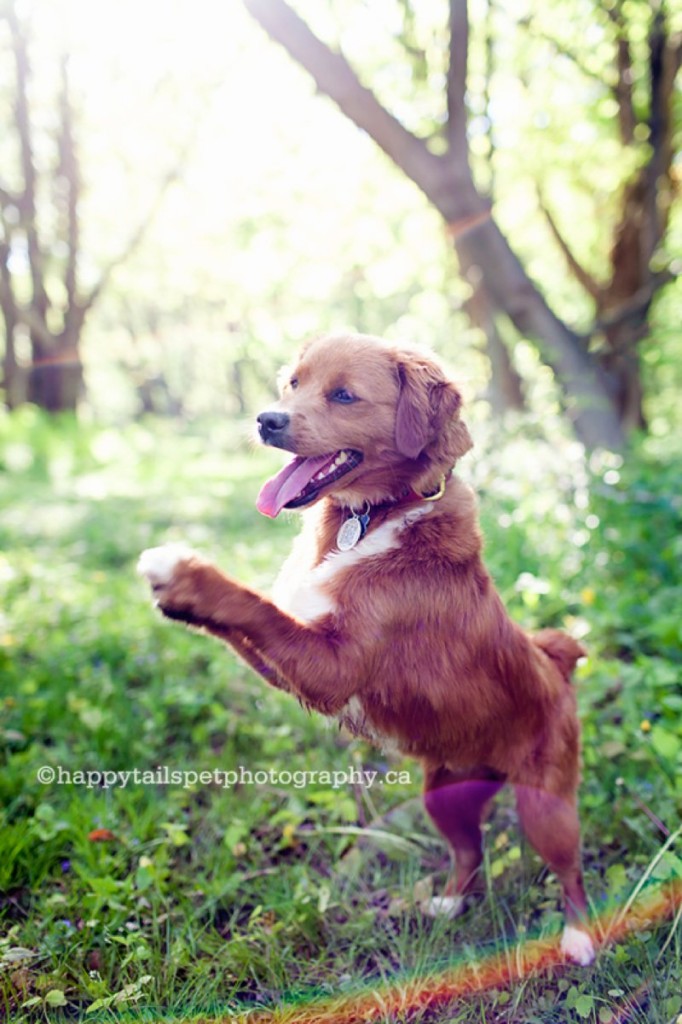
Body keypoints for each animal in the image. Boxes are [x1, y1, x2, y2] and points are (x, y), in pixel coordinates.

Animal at [139, 331, 593, 962]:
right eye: (294, 383)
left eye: (344, 395)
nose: (266, 419)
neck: (376, 515)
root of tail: (555, 663)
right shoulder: (292, 662)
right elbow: (248, 621)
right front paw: (178, 599)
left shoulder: (334, 668)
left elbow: (255, 606)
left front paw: (184, 573)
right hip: (443, 796)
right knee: (470, 852)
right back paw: (449, 904)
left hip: (545, 806)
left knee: (570, 870)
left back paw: (579, 938)